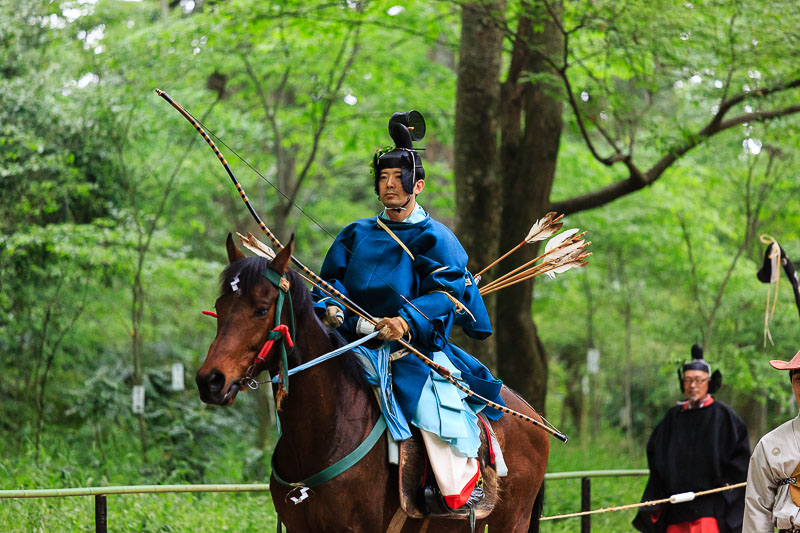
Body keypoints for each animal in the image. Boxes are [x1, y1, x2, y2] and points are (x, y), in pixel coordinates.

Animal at [198, 235, 552, 528]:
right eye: (219, 307)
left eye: (260, 310)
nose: (210, 380)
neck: (326, 431)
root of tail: (531, 413)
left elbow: (443, 292)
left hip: (513, 519)